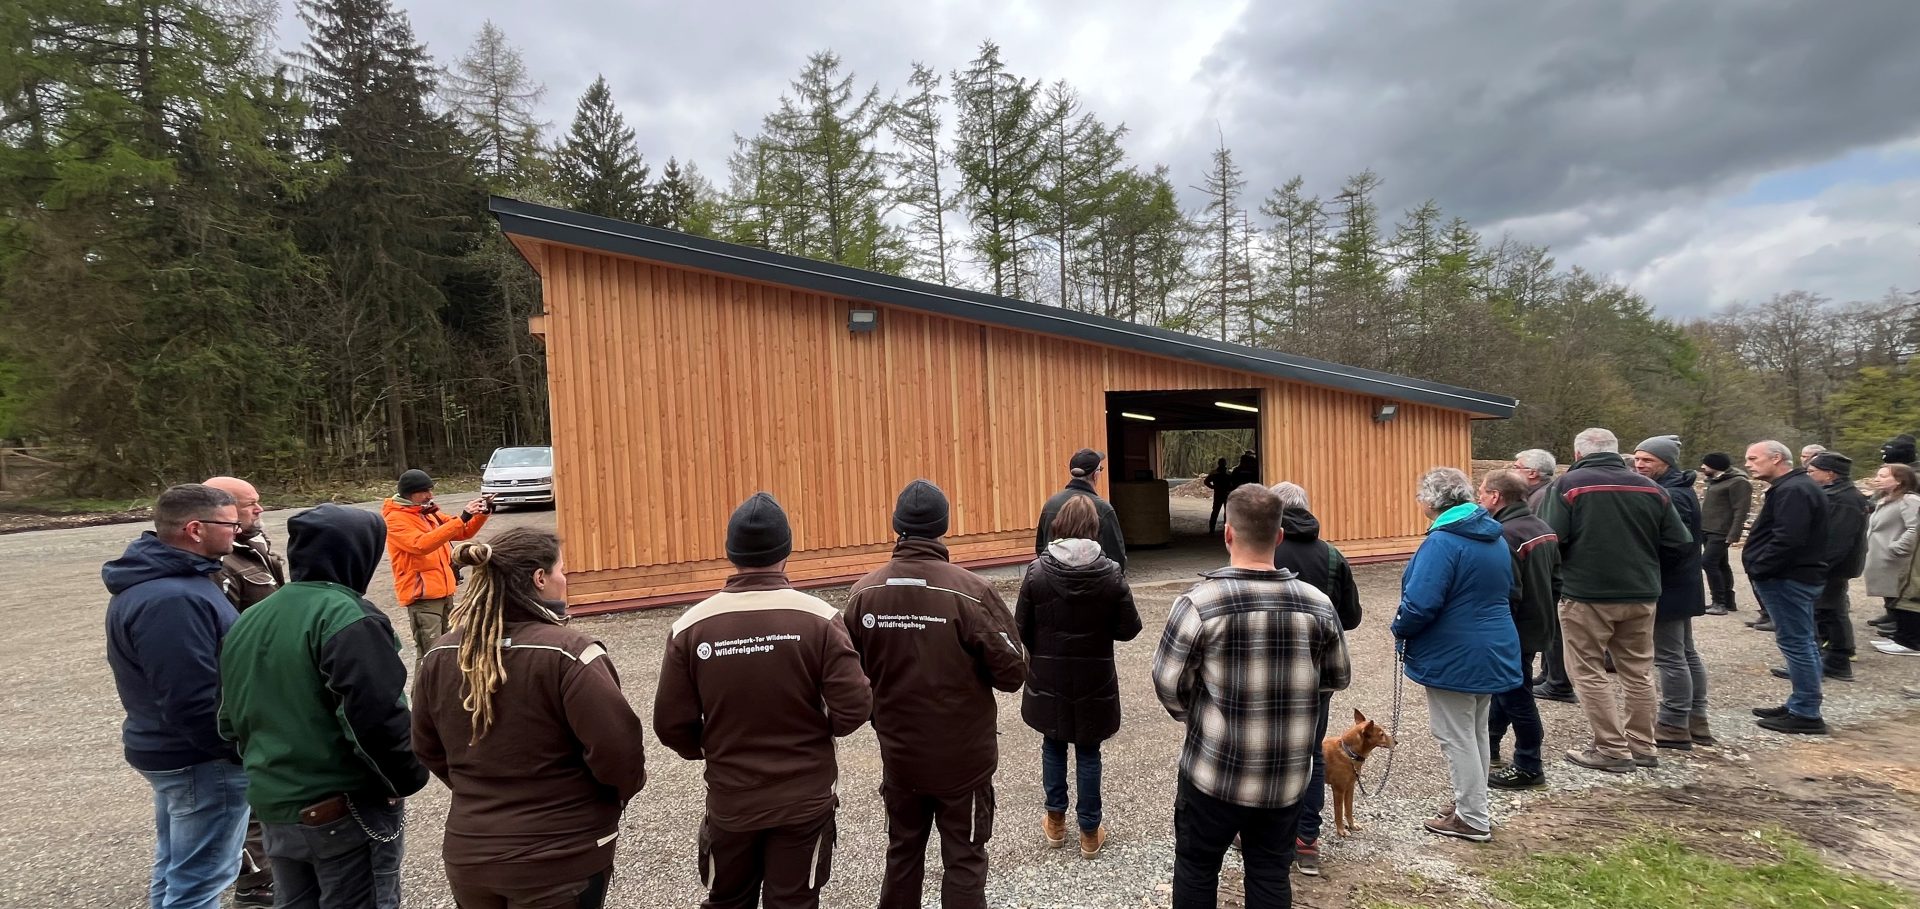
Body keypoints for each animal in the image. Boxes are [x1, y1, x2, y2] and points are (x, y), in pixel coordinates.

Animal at [1320, 707, 1397, 837]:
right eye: (1381, 734)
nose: (1396, 742)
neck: (1349, 754)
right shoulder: (1338, 789)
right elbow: (1339, 812)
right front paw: (1341, 830)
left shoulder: (1350, 786)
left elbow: (1349, 809)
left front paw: (1352, 825)